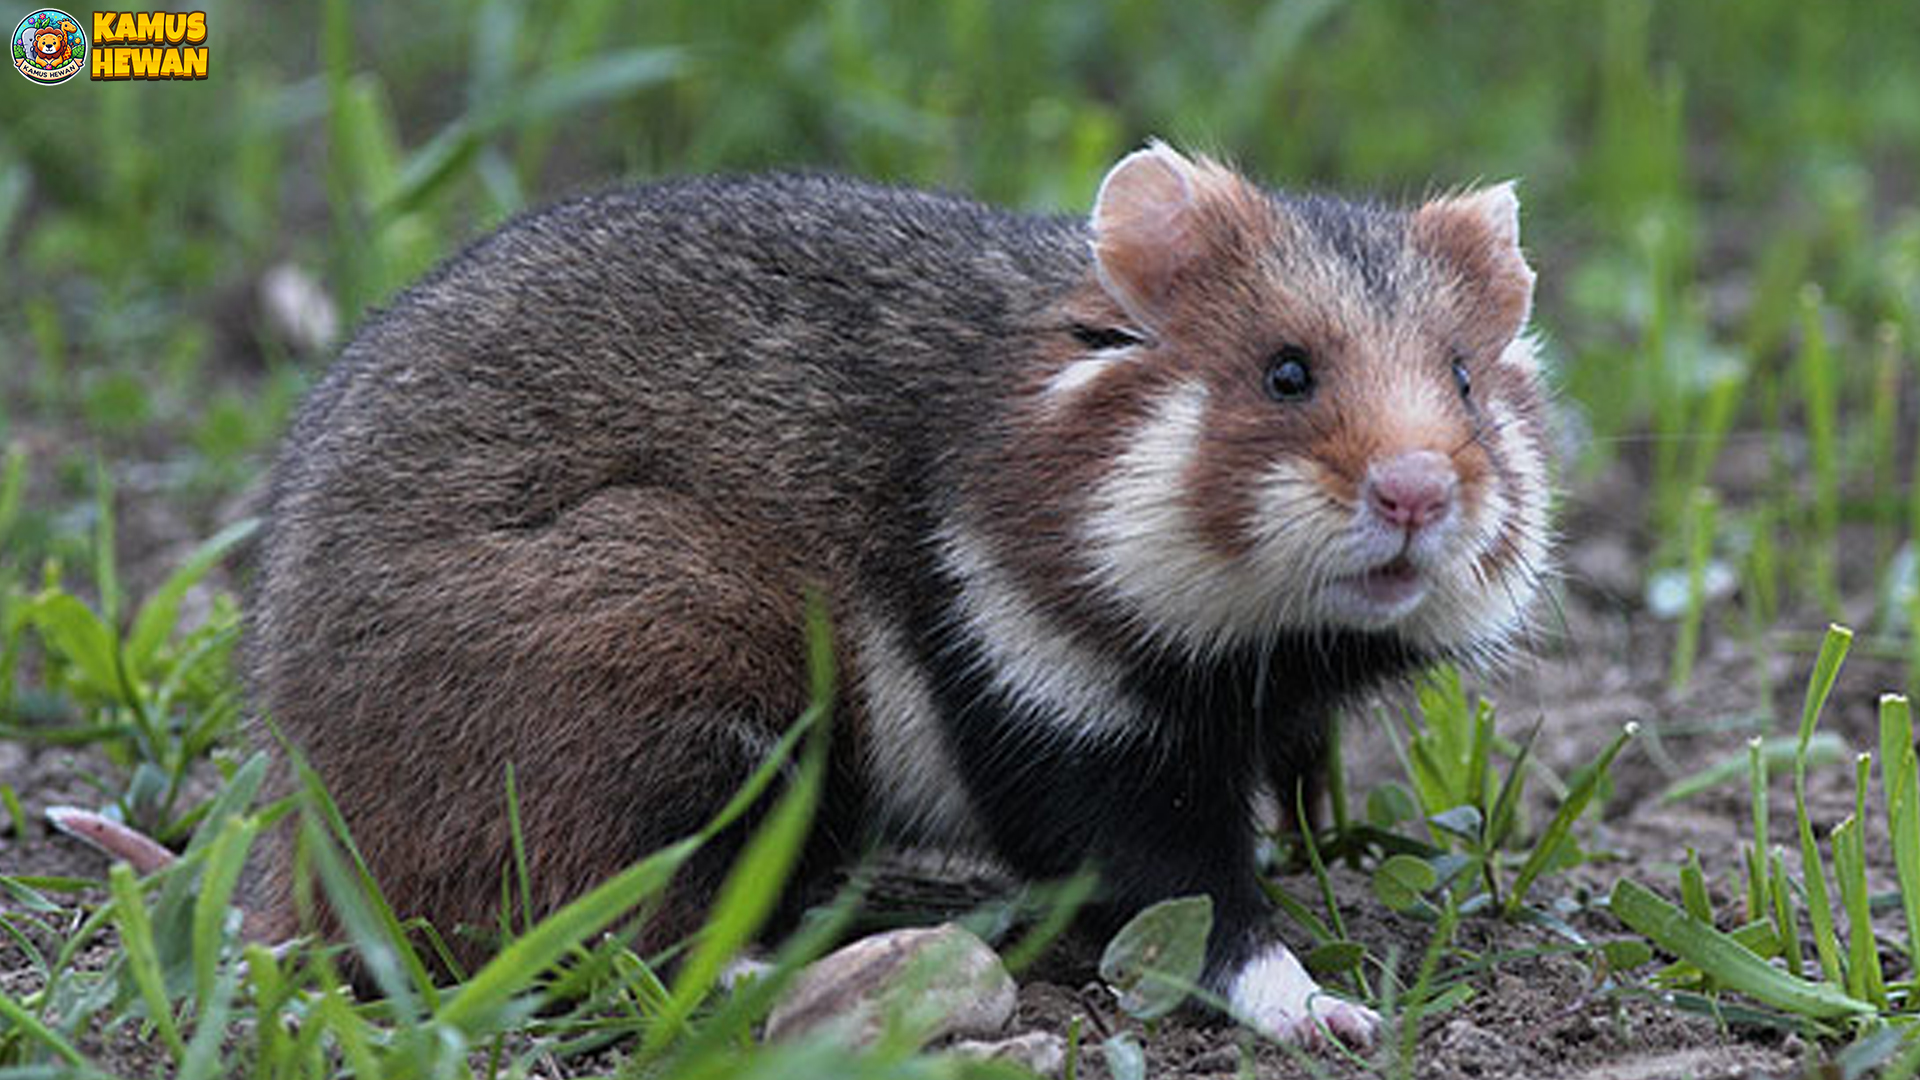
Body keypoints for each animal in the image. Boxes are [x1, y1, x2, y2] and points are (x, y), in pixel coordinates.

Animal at [244, 142, 1553, 1048]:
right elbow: (1199, 911)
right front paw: (1330, 1012)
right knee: (591, 926)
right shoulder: (1068, 725)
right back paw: (764, 973)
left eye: (1464, 379)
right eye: (1286, 372)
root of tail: (291, 836)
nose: (1417, 491)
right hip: (665, 654)